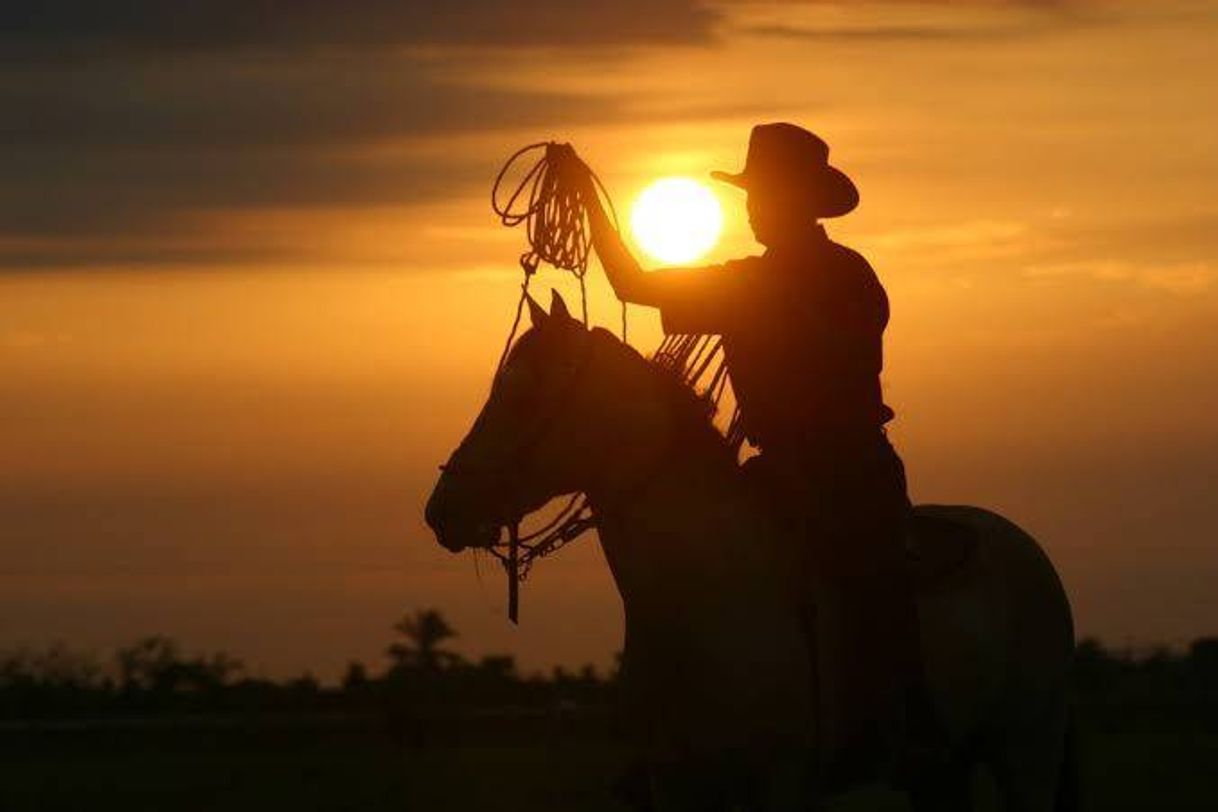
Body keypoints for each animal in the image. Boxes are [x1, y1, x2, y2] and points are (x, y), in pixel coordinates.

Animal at [426, 292, 1076, 812]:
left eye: (521, 393)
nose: (442, 509)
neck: (707, 593)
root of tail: (1023, 547)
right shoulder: (677, 783)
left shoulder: (778, 780)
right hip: (941, 769)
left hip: (1028, 752)